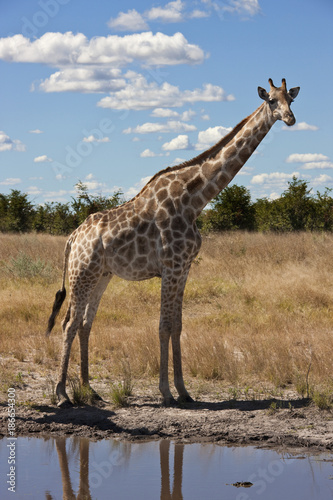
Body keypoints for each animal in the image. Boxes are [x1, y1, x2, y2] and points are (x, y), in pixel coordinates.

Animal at [46, 77, 298, 406]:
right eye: (270, 100)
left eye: (290, 99)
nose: (290, 119)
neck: (196, 200)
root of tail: (73, 237)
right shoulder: (171, 266)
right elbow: (164, 325)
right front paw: (166, 391)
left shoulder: (184, 267)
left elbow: (177, 325)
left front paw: (183, 390)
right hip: (82, 274)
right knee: (68, 324)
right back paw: (63, 394)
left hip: (101, 276)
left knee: (85, 324)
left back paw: (90, 390)